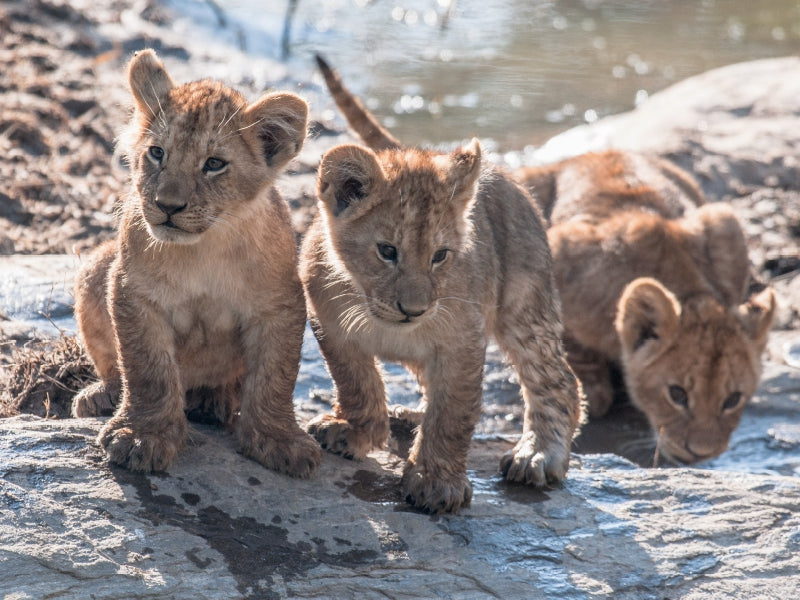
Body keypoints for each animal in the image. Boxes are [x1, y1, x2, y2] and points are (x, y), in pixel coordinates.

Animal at [71, 49, 320, 477]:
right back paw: (101, 395)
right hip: (94, 270)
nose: (168, 206)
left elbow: (275, 375)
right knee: (114, 366)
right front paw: (143, 435)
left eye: (214, 164)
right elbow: (147, 369)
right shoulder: (133, 291)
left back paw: (213, 403)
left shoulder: (280, 302)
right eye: (157, 153)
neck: (205, 248)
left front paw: (279, 440)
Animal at [300, 56, 583, 513]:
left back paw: (539, 453)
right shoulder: (328, 320)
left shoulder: (463, 341)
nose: (413, 310)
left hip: (525, 303)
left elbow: (453, 413)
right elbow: (355, 378)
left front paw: (436, 482)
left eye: (440, 255)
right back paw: (409, 415)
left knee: (556, 379)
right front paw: (357, 430)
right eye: (387, 251)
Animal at [516, 150, 776, 464]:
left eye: (732, 399)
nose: (701, 453)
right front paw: (589, 384)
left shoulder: (725, 228)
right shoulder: (556, 250)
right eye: (677, 394)